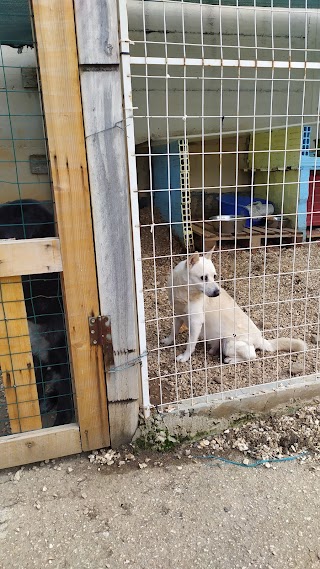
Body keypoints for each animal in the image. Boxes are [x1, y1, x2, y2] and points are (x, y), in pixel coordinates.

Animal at [164, 250, 306, 364]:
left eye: (214, 276)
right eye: (203, 278)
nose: (217, 292)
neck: (184, 293)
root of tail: (260, 339)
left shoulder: (196, 322)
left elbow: (190, 344)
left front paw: (184, 357)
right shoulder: (177, 315)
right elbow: (173, 331)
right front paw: (168, 341)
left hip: (229, 344)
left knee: (251, 355)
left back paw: (230, 359)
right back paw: (213, 349)